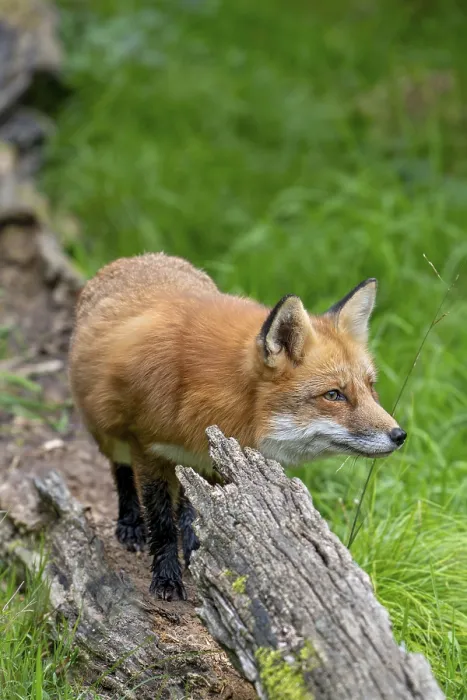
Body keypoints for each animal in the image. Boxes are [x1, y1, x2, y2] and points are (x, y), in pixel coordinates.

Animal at [69, 252, 406, 601]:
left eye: (370, 387)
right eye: (334, 395)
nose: (399, 435)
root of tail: (137, 257)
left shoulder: (214, 457)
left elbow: (197, 512)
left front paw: (201, 554)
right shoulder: (148, 449)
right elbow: (161, 525)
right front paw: (166, 579)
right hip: (107, 432)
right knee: (120, 471)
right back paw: (131, 523)